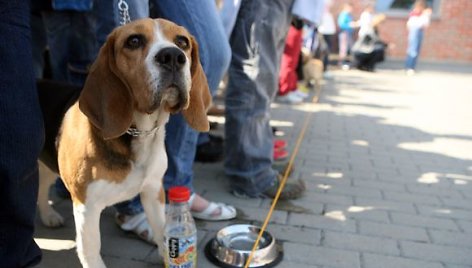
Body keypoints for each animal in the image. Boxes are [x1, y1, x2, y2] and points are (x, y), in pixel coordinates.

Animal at [37, 17, 211, 266]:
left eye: (182, 41)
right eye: (134, 41)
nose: (172, 56)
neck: (139, 132)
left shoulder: (153, 190)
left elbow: (161, 229)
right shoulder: (86, 207)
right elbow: (91, 250)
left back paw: (48, 215)